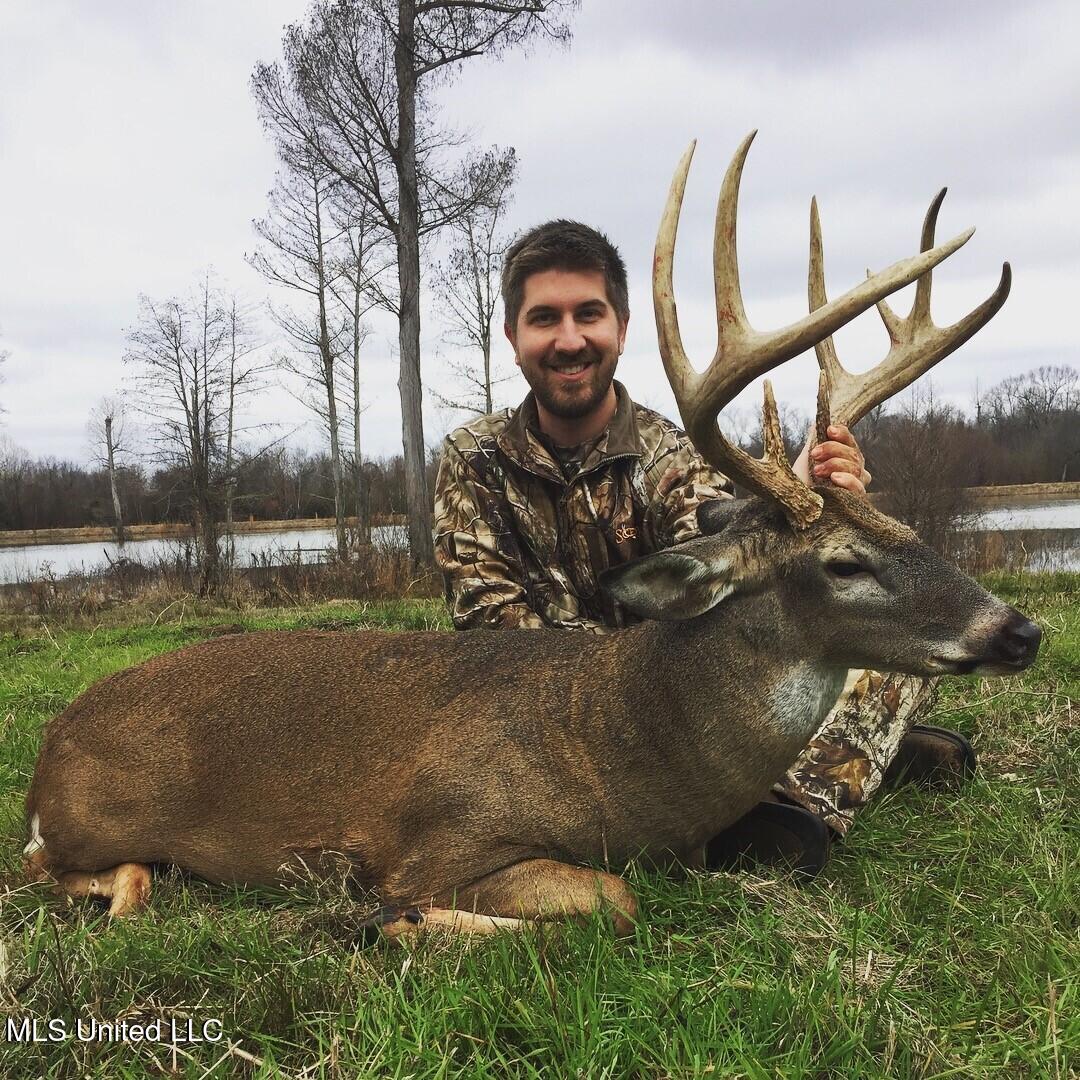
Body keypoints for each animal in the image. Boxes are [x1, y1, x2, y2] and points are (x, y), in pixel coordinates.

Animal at [24, 133, 1039, 938]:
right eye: (844, 563)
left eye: (903, 524)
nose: (1018, 630)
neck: (616, 749)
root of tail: (47, 753)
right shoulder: (438, 839)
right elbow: (609, 902)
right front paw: (386, 922)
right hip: (89, 824)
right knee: (56, 870)